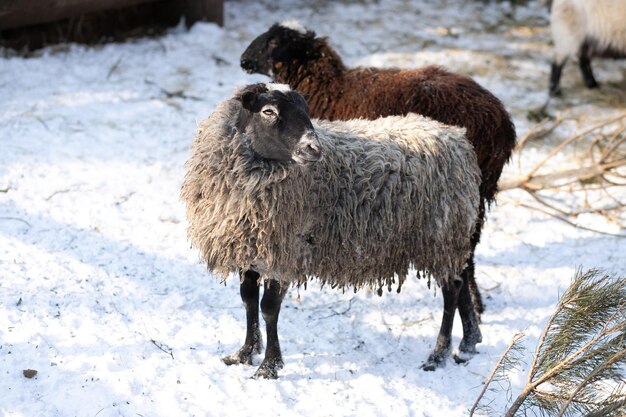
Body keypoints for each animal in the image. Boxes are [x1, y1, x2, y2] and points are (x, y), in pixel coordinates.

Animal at [180, 83, 482, 378]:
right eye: (268, 111)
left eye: (306, 110)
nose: (313, 148)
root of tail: (458, 138)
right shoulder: (249, 248)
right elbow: (248, 301)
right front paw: (244, 353)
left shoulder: (285, 250)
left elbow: (268, 308)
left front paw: (269, 366)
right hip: (452, 235)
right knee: (463, 277)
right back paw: (468, 343)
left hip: (440, 236)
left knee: (452, 290)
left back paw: (438, 355)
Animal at [239, 21, 516, 364]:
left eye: (274, 42)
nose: (243, 60)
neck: (331, 87)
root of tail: (502, 123)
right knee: (464, 258)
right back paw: (470, 335)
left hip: (456, 197)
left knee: (464, 260)